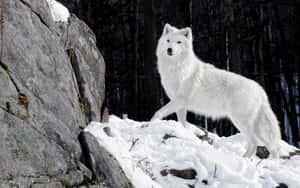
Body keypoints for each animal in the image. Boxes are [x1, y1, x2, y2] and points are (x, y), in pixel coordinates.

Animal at [151, 23, 282, 159]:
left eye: (179, 42)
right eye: (168, 41)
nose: (169, 49)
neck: (177, 68)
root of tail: (260, 90)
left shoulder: (179, 100)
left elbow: (158, 112)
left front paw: (150, 124)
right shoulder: (180, 105)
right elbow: (182, 123)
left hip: (240, 121)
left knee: (254, 143)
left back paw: (243, 159)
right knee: (266, 145)